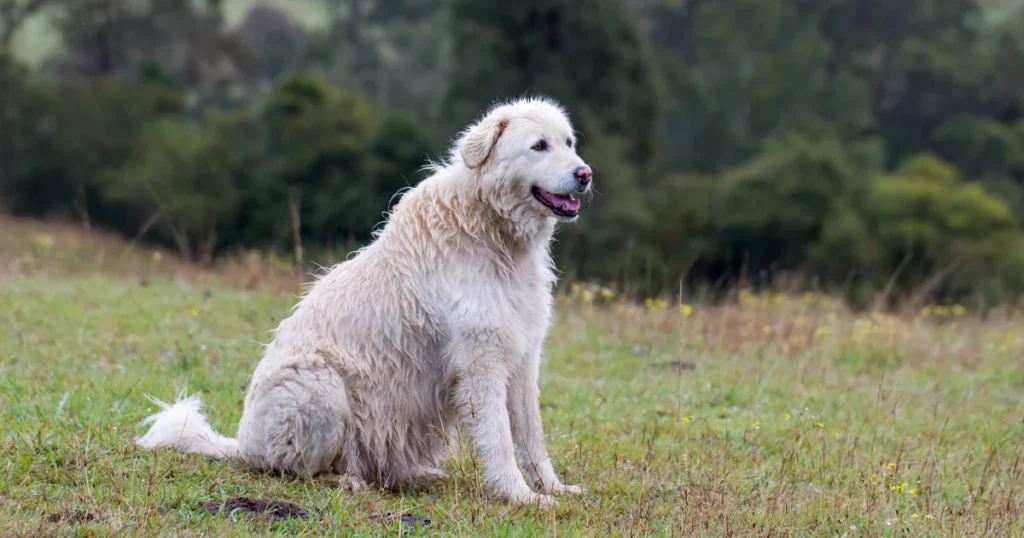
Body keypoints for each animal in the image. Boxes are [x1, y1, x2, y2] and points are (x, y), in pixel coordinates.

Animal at [136, 97, 593, 508]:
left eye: (569, 142)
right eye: (538, 146)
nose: (585, 174)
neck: (493, 230)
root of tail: (244, 445)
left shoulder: (523, 359)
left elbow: (532, 438)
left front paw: (553, 488)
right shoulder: (482, 363)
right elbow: (499, 440)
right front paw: (520, 497)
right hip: (320, 382)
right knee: (297, 470)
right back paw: (347, 481)